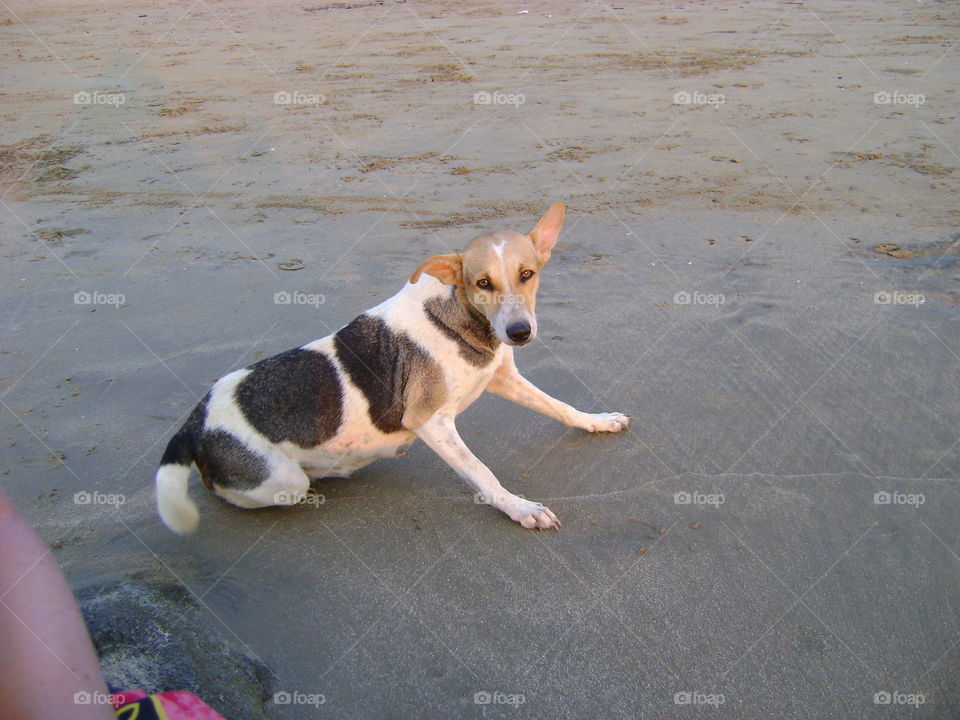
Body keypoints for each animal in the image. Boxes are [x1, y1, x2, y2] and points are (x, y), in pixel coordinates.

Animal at [157, 202, 632, 536]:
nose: (519, 332)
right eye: (482, 283)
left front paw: (596, 421)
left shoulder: (505, 379)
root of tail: (195, 420)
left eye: (528, 274)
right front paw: (520, 508)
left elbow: (560, 406)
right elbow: (482, 472)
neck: (462, 321)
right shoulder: (429, 421)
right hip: (281, 480)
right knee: (236, 493)